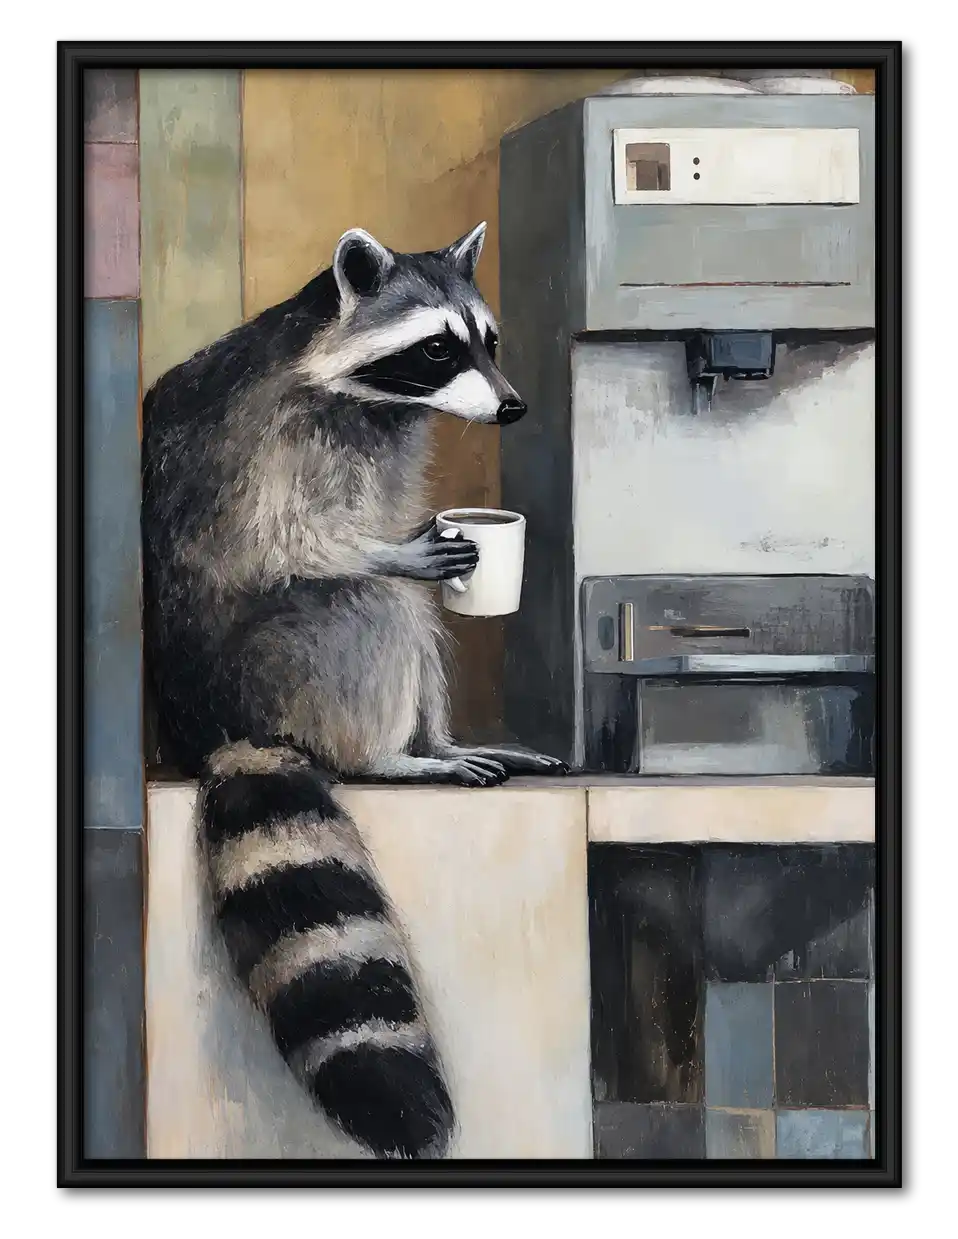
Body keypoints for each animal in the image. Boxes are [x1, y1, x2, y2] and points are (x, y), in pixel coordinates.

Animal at [142, 222, 569, 1160]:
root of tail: (215, 725)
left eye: (488, 340)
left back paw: (436, 739)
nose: (513, 409)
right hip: (280, 662)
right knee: (373, 606)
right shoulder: (283, 440)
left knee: (417, 621)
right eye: (437, 347)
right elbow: (301, 541)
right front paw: (388, 549)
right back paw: (390, 756)